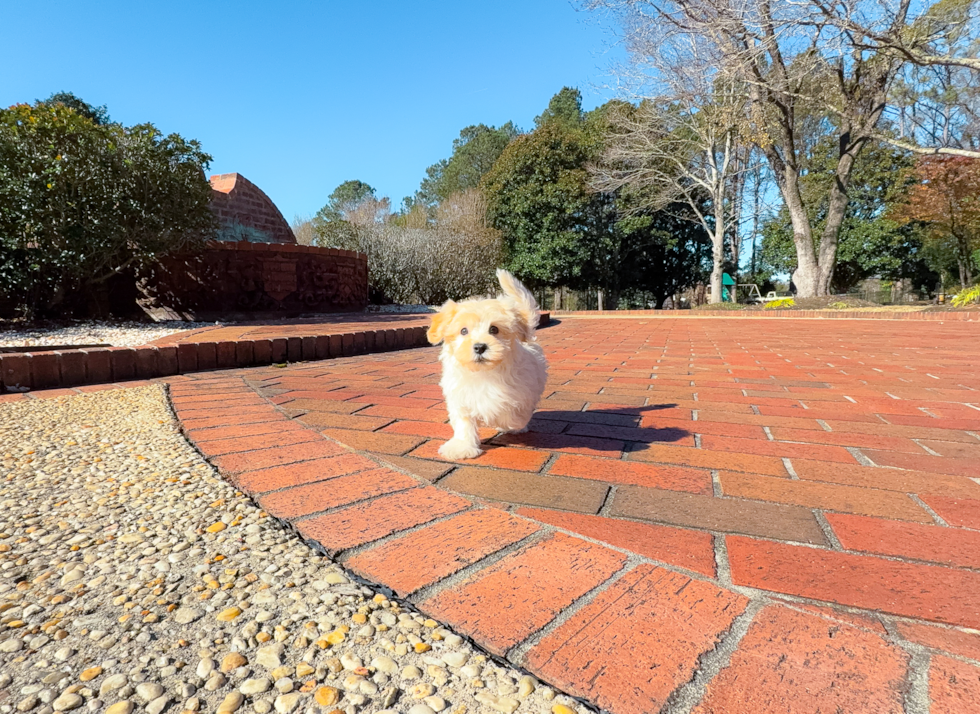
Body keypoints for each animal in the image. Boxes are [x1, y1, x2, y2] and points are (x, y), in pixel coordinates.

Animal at [424, 266, 548, 456]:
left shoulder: (522, 393)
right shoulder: (460, 397)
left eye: (494, 329)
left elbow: (511, 412)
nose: (479, 347)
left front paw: (506, 423)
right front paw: (462, 446)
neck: (483, 373)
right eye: (464, 331)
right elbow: (464, 423)